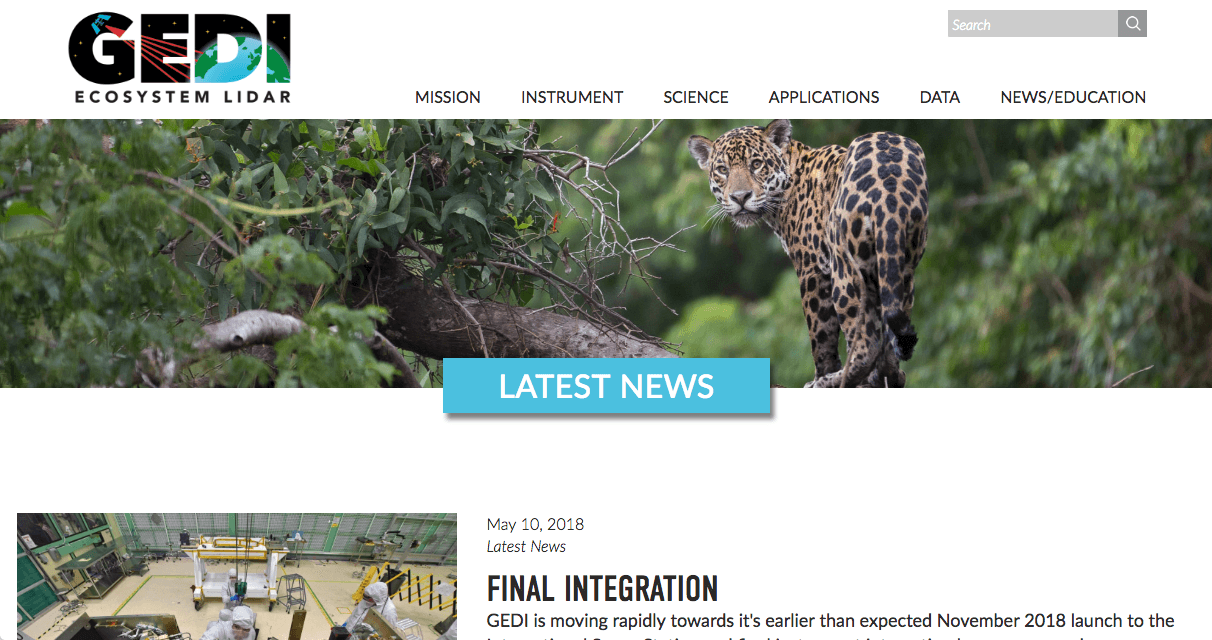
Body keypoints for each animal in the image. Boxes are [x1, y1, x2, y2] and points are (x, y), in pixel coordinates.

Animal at [688, 119, 928, 388]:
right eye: (722, 169)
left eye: (756, 164)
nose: (740, 197)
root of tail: (889, 186)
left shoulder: (812, 269)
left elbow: (821, 334)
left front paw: (822, 374)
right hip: (899, 263)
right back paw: (888, 375)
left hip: (845, 270)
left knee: (865, 341)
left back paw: (834, 380)